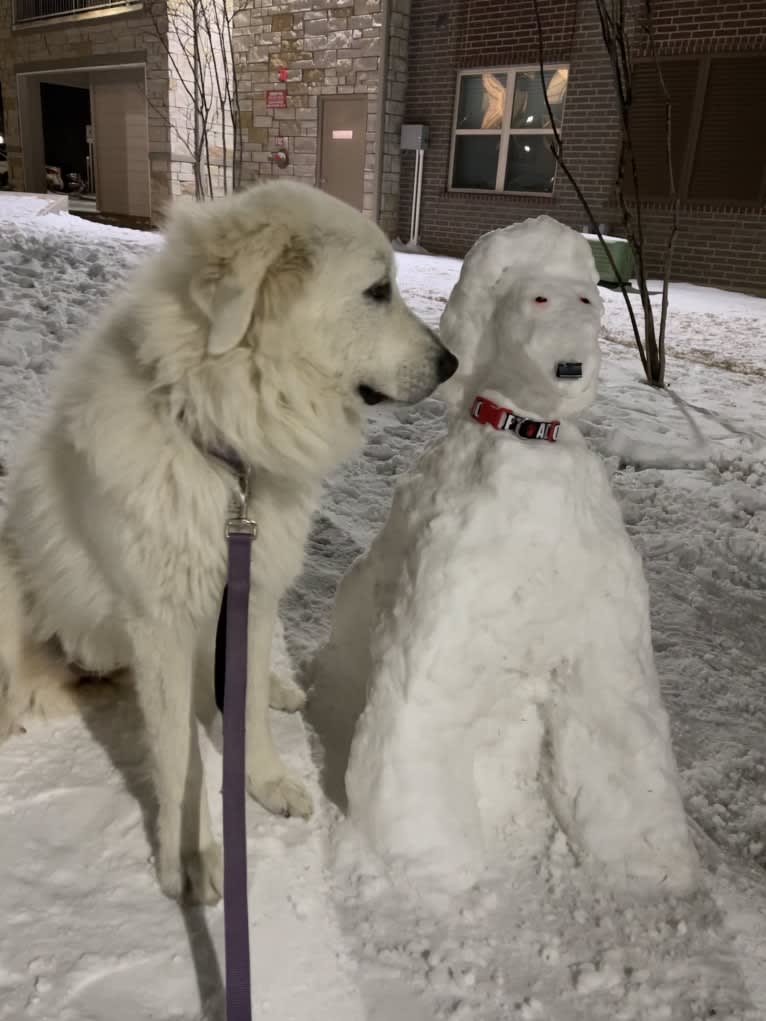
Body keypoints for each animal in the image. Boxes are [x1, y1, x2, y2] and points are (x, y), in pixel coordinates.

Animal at [0, 181, 455, 902]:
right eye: (378, 290)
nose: (452, 363)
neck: (228, 451)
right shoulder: (158, 623)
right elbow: (177, 756)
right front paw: (189, 853)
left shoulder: (255, 592)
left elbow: (241, 713)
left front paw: (264, 780)